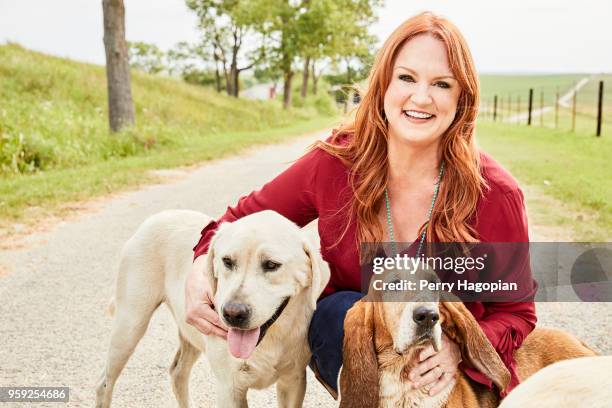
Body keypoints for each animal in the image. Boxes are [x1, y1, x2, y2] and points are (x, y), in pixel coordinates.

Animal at [95, 210, 330, 408]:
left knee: (177, 373)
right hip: (130, 326)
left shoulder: (293, 381)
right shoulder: (229, 389)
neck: (271, 338)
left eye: (271, 265)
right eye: (227, 261)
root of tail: (158, 215)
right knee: (104, 384)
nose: (233, 314)